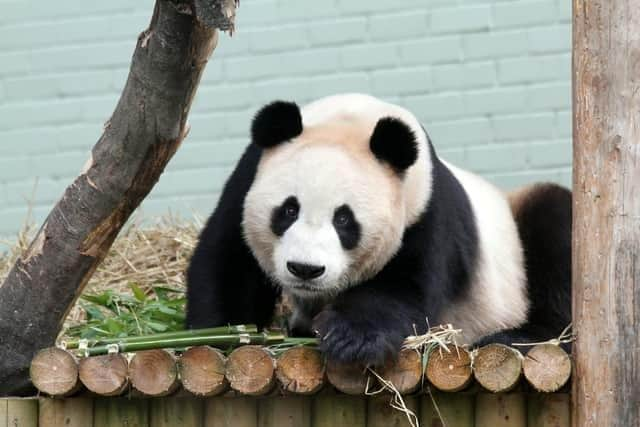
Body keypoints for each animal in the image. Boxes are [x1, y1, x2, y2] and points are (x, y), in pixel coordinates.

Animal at [185, 93, 568, 364]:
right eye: (288, 210)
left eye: (344, 219)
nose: (305, 269)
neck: (353, 121)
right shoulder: (247, 178)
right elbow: (229, 262)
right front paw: (221, 334)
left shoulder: (424, 209)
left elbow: (405, 287)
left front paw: (350, 339)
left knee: (555, 229)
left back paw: (515, 337)